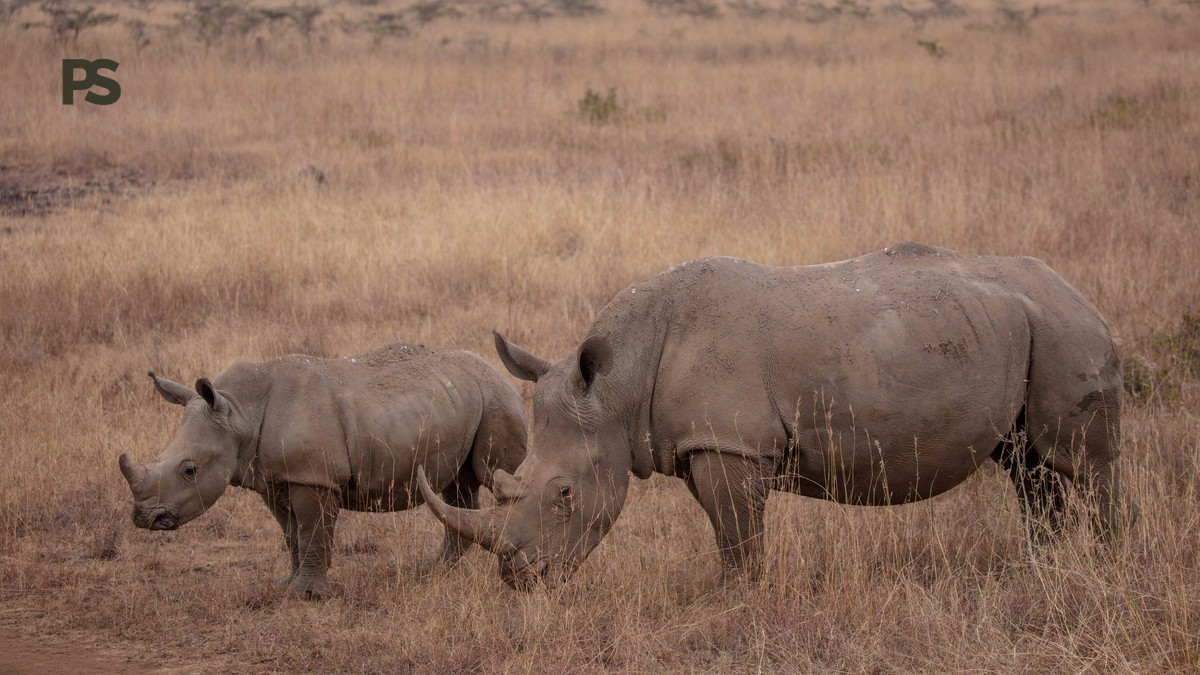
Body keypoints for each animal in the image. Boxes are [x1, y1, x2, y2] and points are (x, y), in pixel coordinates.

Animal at [119, 342, 527, 599]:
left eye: (189, 470)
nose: (143, 518)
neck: (238, 413)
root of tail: (494, 369)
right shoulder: (273, 478)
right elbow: (292, 534)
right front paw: (287, 584)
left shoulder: (312, 476)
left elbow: (312, 530)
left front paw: (308, 595)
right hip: (459, 402)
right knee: (457, 489)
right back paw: (431, 571)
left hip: (497, 400)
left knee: (500, 475)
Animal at [418, 242, 1129, 590]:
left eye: (564, 494)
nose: (516, 578)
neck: (618, 384)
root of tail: (1081, 295)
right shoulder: (708, 444)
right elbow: (728, 528)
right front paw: (734, 592)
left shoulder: (729, 443)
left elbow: (736, 532)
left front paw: (731, 599)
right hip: (1021, 329)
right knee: (1029, 468)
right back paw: (1043, 568)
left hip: (1066, 334)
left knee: (1083, 465)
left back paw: (1107, 565)